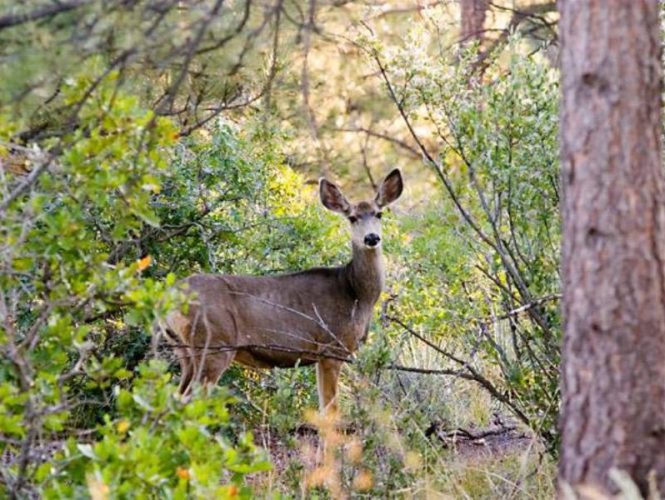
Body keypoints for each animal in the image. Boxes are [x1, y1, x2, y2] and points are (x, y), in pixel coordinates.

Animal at [158, 168, 402, 414]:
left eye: (379, 214)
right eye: (352, 217)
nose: (371, 238)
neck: (356, 294)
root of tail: (167, 298)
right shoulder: (331, 347)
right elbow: (331, 412)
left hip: (184, 350)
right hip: (214, 344)